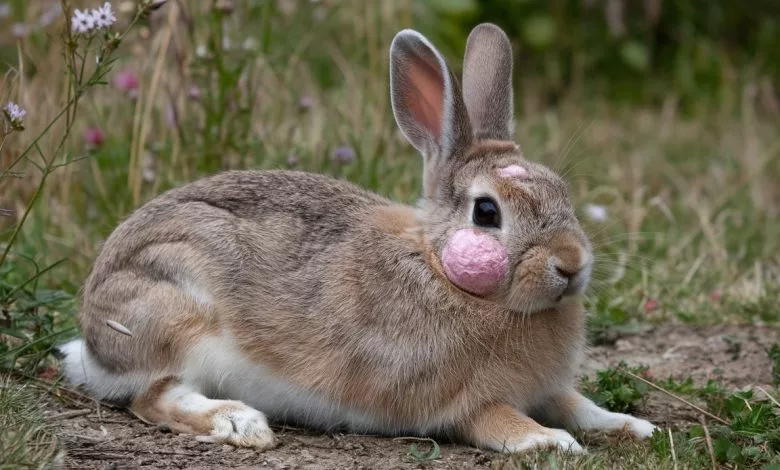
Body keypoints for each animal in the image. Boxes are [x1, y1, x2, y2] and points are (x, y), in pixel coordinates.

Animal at [58, 23, 657, 453]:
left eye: (560, 191)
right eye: (487, 212)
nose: (572, 264)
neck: (439, 268)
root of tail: (92, 338)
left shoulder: (549, 389)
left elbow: (578, 404)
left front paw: (632, 426)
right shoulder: (456, 399)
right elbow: (497, 418)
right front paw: (550, 441)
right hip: (176, 310)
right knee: (152, 396)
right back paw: (239, 423)